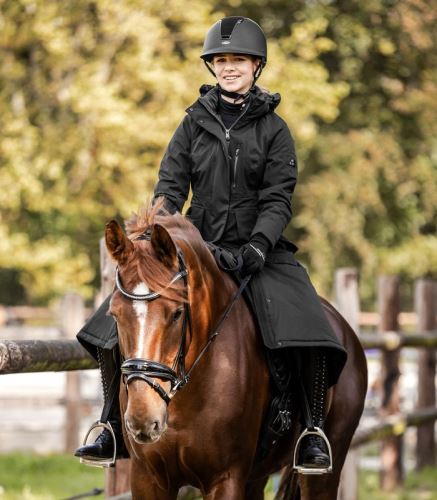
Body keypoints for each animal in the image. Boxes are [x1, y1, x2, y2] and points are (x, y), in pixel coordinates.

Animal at [106, 204, 368, 500]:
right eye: (114, 315)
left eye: (177, 313)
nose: (143, 419)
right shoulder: (148, 479)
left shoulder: (226, 478)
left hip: (322, 474)